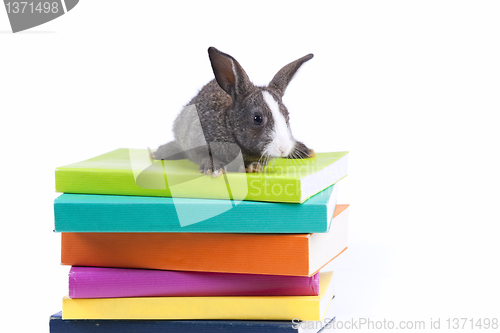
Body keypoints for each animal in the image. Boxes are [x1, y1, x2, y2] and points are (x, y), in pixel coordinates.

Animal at [153, 47, 316, 176]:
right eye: (257, 119)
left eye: (287, 116)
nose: (283, 149)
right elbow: (202, 155)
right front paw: (213, 168)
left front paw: (251, 167)